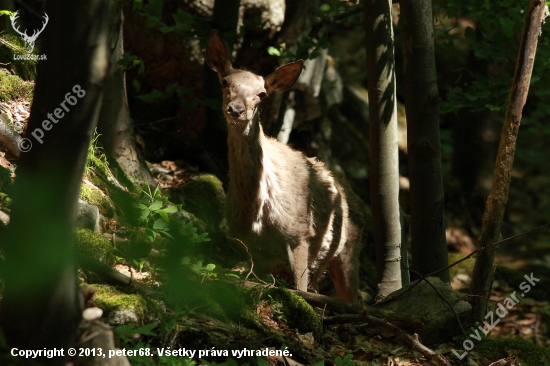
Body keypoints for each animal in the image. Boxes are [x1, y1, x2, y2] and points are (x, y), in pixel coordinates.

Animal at [205, 30, 364, 300]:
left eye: (262, 94)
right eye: (225, 82)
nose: (236, 110)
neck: (258, 212)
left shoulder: (299, 234)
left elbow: (300, 291)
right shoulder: (253, 249)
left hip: (347, 248)